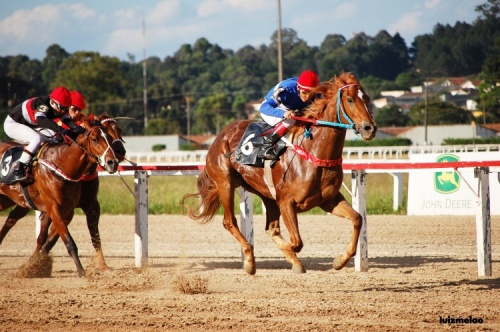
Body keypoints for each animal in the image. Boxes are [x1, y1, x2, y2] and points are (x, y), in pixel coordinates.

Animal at [0, 118, 119, 276]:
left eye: (110, 138)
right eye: (95, 139)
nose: (113, 162)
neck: (61, 164)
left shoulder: (70, 210)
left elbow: (50, 240)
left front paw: (33, 265)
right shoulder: (53, 208)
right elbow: (68, 241)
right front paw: (81, 271)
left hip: (10, 200)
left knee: (11, 220)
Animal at [183, 72, 376, 274]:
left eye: (367, 98)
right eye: (350, 99)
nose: (370, 128)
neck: (315, 153)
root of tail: (221, 135)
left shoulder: (328, 200)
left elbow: (357, 219)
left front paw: (339, 260)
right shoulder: (286, 202)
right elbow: (296, 242)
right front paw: (287, 252)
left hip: (266, 193)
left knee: (272, 227)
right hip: (225, 183)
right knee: (230, 222)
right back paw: (249, 260)